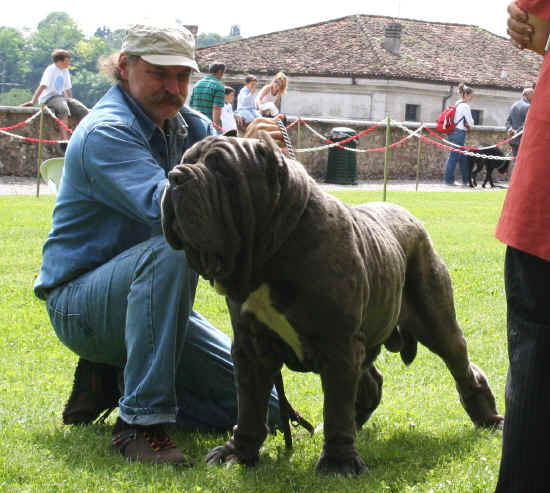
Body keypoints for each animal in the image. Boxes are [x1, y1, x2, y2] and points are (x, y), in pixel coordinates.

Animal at [161, 133, 504, 474]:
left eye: (221, 169)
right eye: (184, 160)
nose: (175, 177)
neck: (271, 252)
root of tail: (410, 218)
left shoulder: (337, 344)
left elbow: (335, 405)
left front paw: (338, 463)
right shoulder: (251, 348)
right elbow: (249, 405)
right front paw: (238, 452)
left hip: (436, 323)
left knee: (462, 367)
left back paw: (488, 418)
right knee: (371, 382)